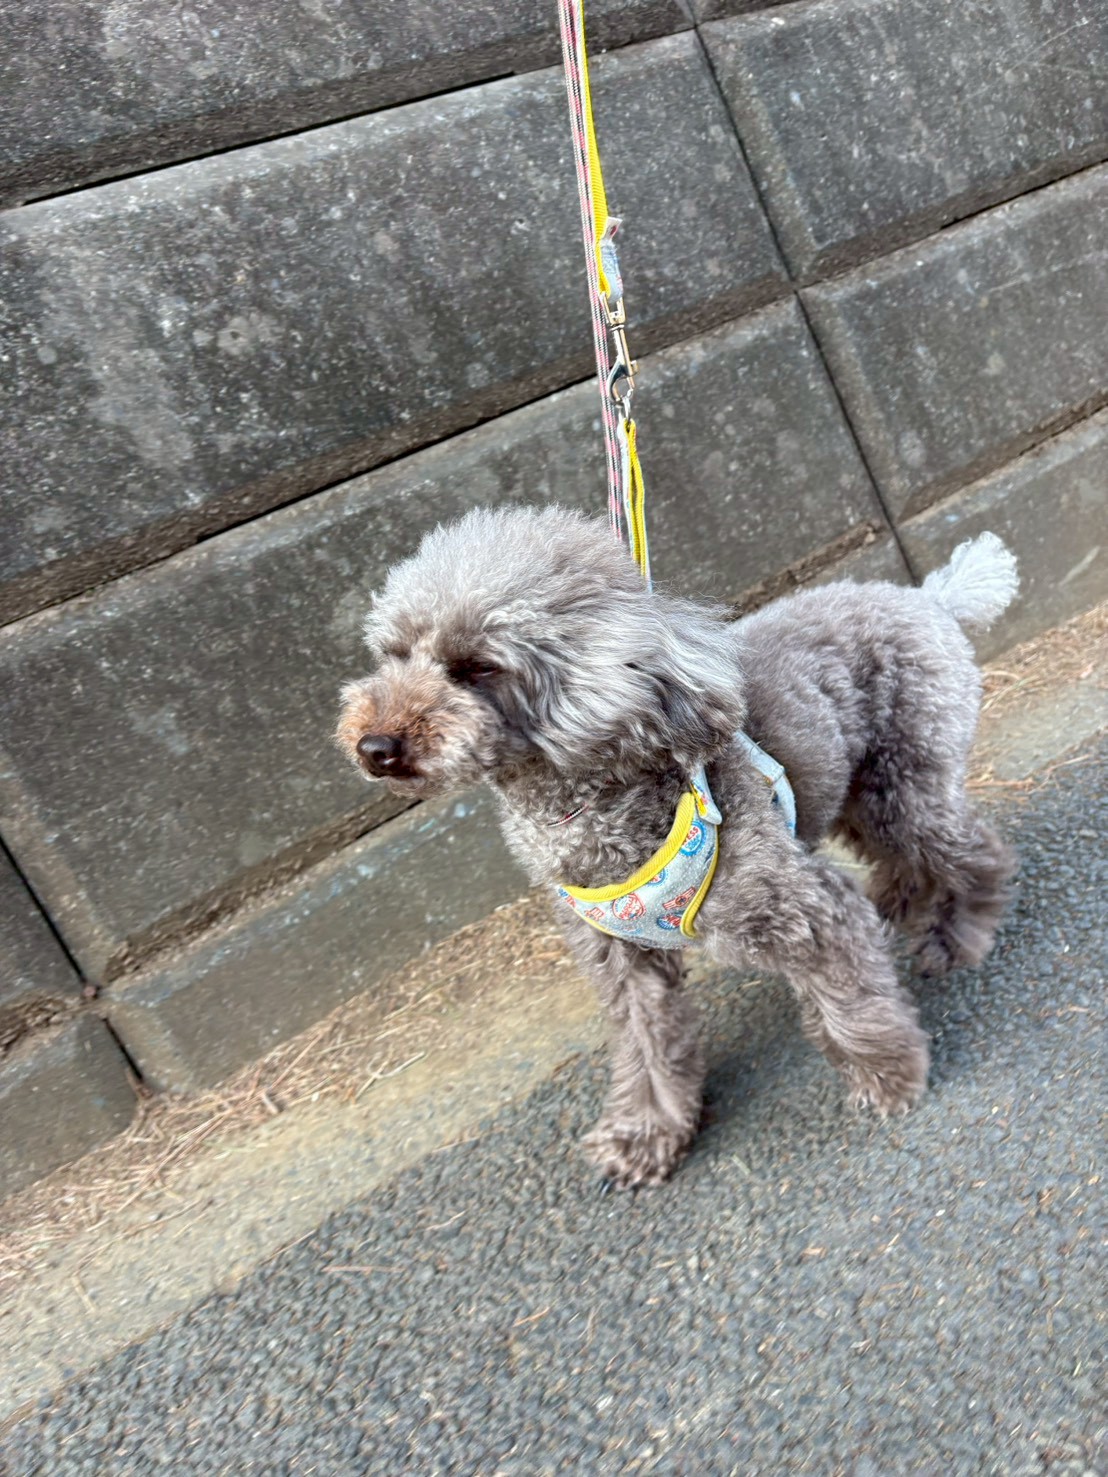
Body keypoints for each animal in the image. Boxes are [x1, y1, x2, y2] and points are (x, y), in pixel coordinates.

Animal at [336, 506, 1018, 1188]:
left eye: (476, 667)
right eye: (393, 655)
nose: (375, 746)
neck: (586, 807)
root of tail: (928, 597)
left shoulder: (804, 912)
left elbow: (852, 1005)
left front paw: (888, 1078)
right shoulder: (620, 960)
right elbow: (647, 1048)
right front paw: (646, 1136)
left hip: (905, 776)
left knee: (973, 849)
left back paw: (955, 936)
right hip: (858, 788)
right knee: (905, 854)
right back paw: (904, 905)